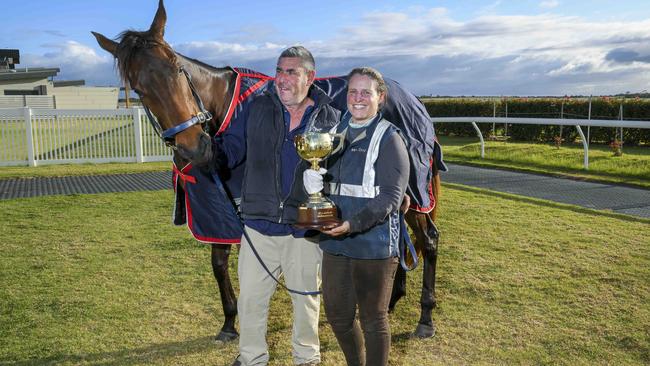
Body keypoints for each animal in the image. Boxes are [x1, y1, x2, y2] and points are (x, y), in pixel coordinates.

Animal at [92, 0, 440, 342]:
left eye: (177, 68)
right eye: (139, 88)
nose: (193, 145)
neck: (223, 108)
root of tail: (413, 99)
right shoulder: (214, 207)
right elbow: (219, 263)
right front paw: (229, 323)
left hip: (412, 192)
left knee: (428, 242)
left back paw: (425, 318)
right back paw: (392, 300)